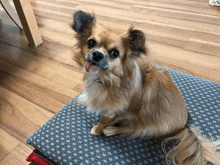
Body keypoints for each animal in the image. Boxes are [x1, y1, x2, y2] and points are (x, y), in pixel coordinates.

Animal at [71, 10, 219, 165]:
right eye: (90, 43)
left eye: (115, 53)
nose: (97, 54)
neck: (109, 79)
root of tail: (184, 126)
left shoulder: (114, 112)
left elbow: (104, 121)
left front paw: (98, 129)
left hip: (150, 126)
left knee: (129, 129)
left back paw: (111, 130)